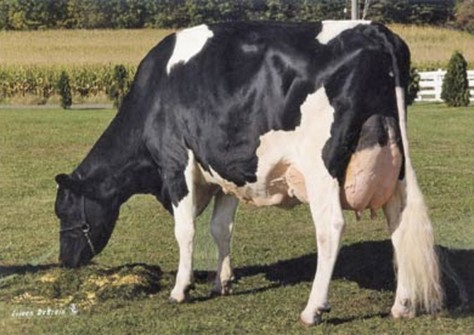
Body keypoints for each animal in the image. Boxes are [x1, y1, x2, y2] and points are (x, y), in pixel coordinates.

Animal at [53, 20, 442, 326]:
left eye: (63, 210)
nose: (65, 261)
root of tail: (376, 30)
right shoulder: (226, 169)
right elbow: (220, 228)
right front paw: (222, 282)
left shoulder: (175, 162)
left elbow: (185, 229)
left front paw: (181, 289)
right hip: (394, 164)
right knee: (399, 223)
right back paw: (402, 305)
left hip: (321, 167)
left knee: (331, 227)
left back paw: (313, 309)